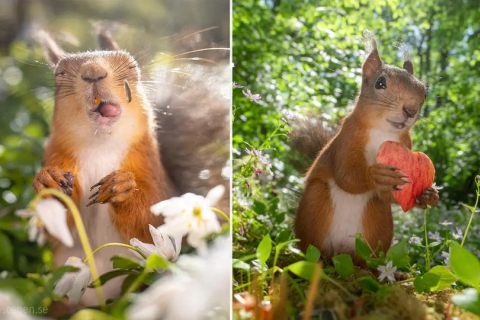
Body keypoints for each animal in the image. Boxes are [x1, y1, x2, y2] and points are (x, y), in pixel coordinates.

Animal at [292, 37, 438, 266]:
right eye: (380, 83)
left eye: (424, 92)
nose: (410, 110)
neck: (382, 131)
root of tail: (340, 254)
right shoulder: (347, 138)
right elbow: (347, 176)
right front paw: (376, 175)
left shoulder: (407, 145)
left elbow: (390, 195)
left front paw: (428, 195)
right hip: (315, 205)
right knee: (313, 248)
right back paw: (319, 261)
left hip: (378, 220)